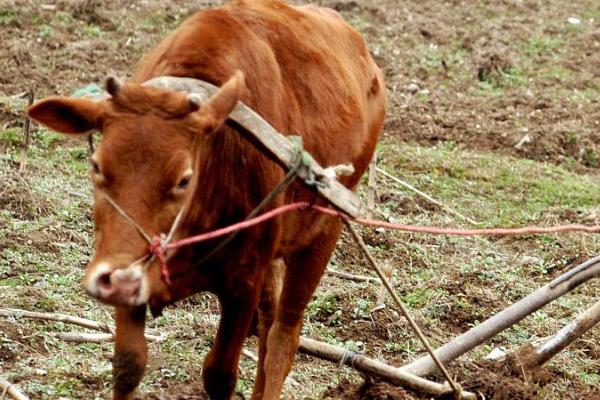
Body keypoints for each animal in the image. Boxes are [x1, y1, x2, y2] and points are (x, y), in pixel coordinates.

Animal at [28, 1, 386, 398]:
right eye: (96, 164)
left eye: (184, 179)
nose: (115, 279)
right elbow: (128, 365)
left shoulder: (242, 287)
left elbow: (219, 374)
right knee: (269, 322)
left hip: (324, 231)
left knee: (283, 336)